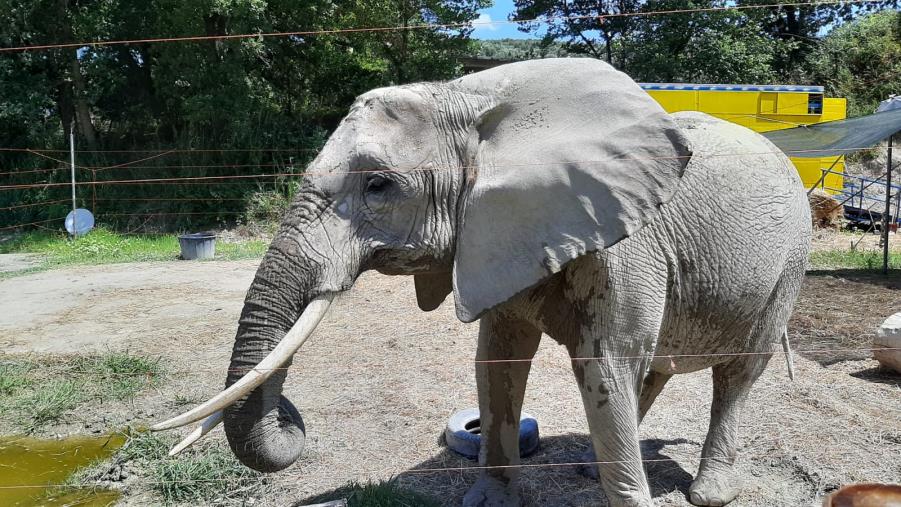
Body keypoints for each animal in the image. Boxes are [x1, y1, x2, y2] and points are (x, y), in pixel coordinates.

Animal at [153, 58, 811, 507]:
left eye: (378, 186)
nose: (290, 417)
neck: (471, 98)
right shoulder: (498, 233)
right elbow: (498, 358)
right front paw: (491, 502)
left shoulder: (626, 245)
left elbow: (603, 367)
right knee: (651, 370)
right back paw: (593, 469)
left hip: (789, 262)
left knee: (735, 373)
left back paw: (707, 492)